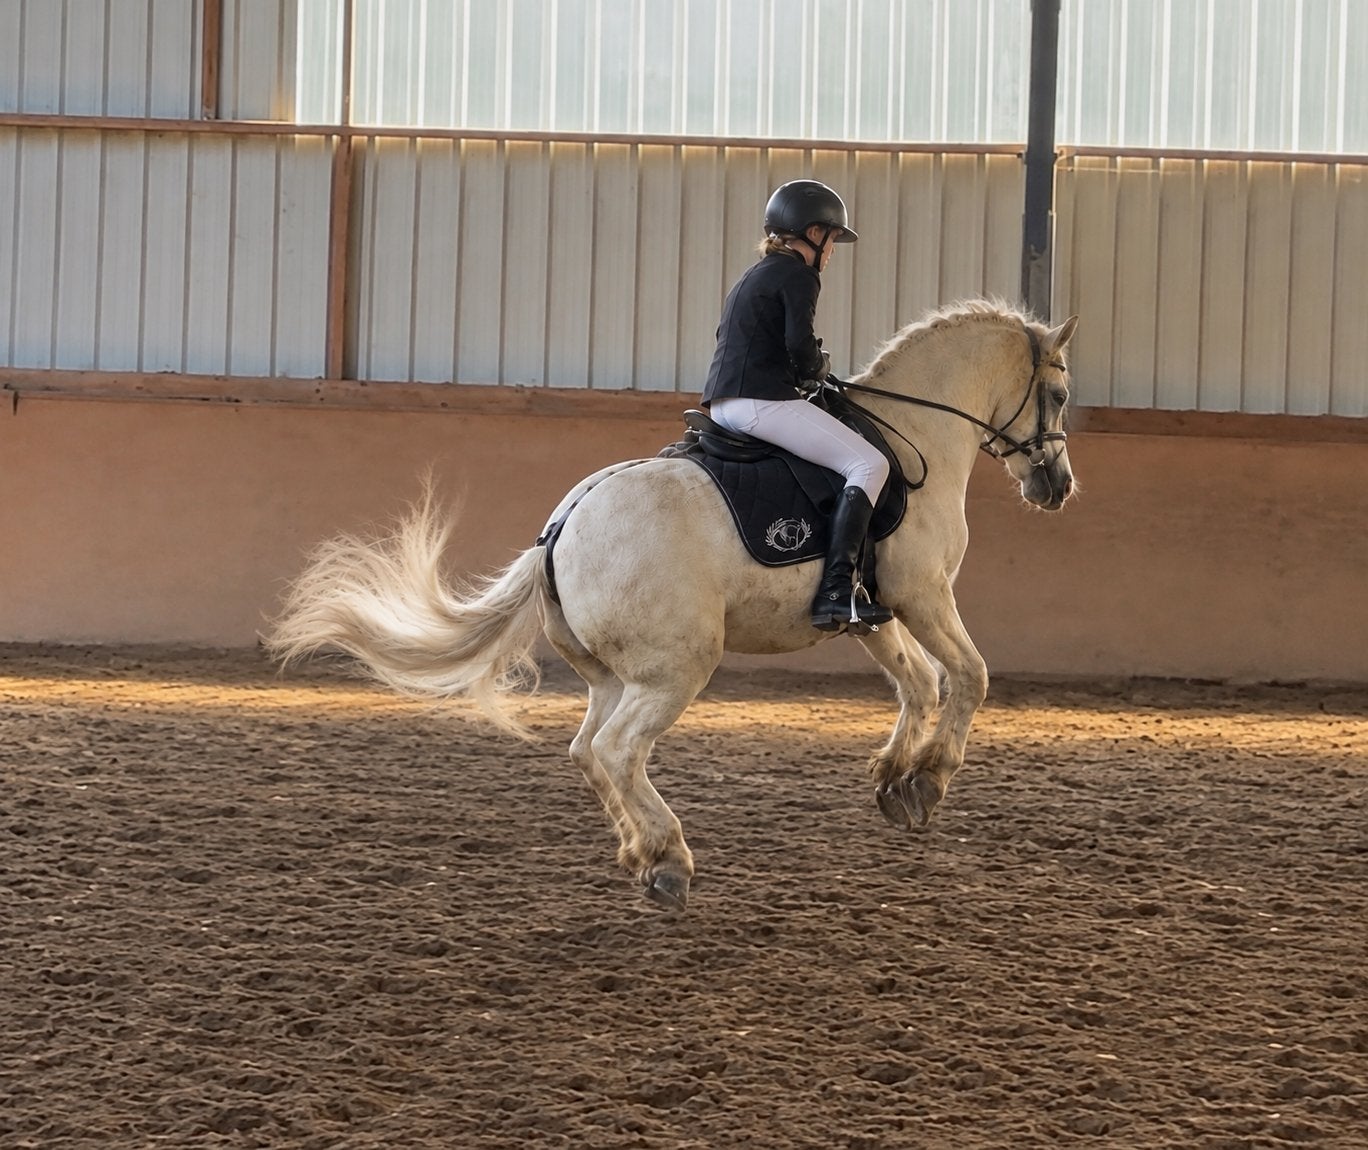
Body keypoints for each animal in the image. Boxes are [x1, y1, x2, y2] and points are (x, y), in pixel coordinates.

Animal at [267, 301, 1079, 912]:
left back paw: (639, 852)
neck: (916, 438)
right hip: (675, 669)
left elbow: (919, 684)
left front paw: (895, 782)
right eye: (1062, 394)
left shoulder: (872, 610)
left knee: (587, 750)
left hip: (613, 675)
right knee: (618, 750)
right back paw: (668, 860)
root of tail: (560, 529)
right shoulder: (923, 594)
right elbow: (967, 676)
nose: (1058, 487)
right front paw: (930, 779)